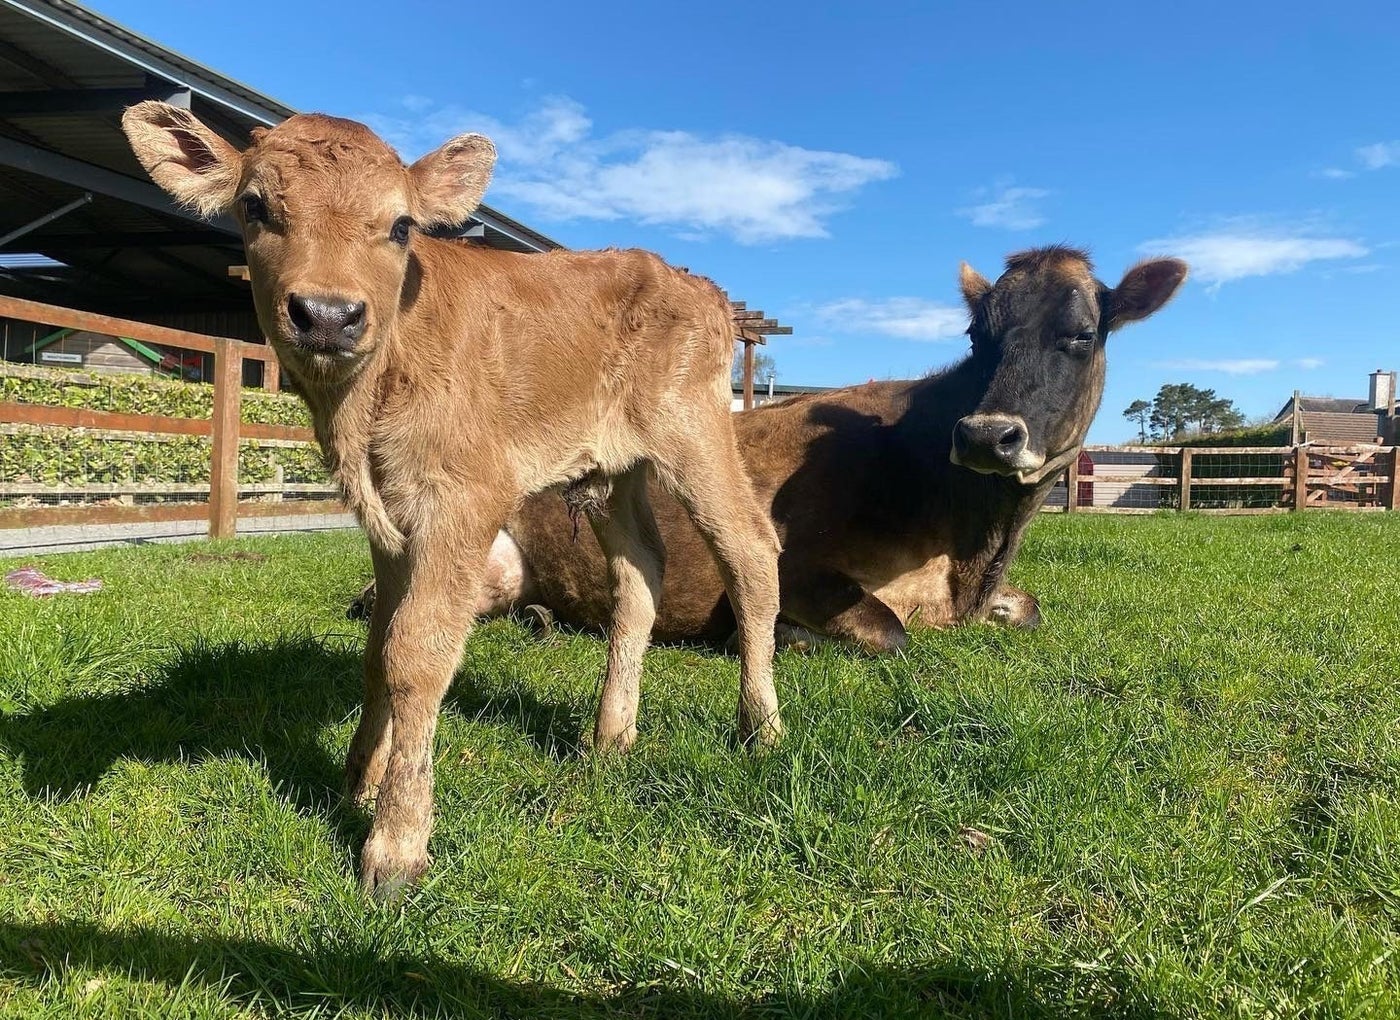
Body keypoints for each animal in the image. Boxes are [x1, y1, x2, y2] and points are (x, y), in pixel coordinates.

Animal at [122, 103, 782, 897]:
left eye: (402, 225)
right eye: (254, 206)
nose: (328, 314)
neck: (362, 412)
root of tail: (693, 282)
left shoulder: (464, 500)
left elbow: (417, 653)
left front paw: (395, 845)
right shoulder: (387, 522)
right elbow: (377, 650)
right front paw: (358, 781)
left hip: (694, 430)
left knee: (750, 549)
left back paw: (760, 728)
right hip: (613, 471)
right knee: (641, 570)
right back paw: (610, 737)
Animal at [351, 246, 1187, 653]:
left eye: (1082, 334)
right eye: (978, 334)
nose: (986, 435)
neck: (974, 549)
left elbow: (1031, 610)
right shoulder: (802, 566)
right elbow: (889, 632)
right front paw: (783, 636)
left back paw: (544, 617)